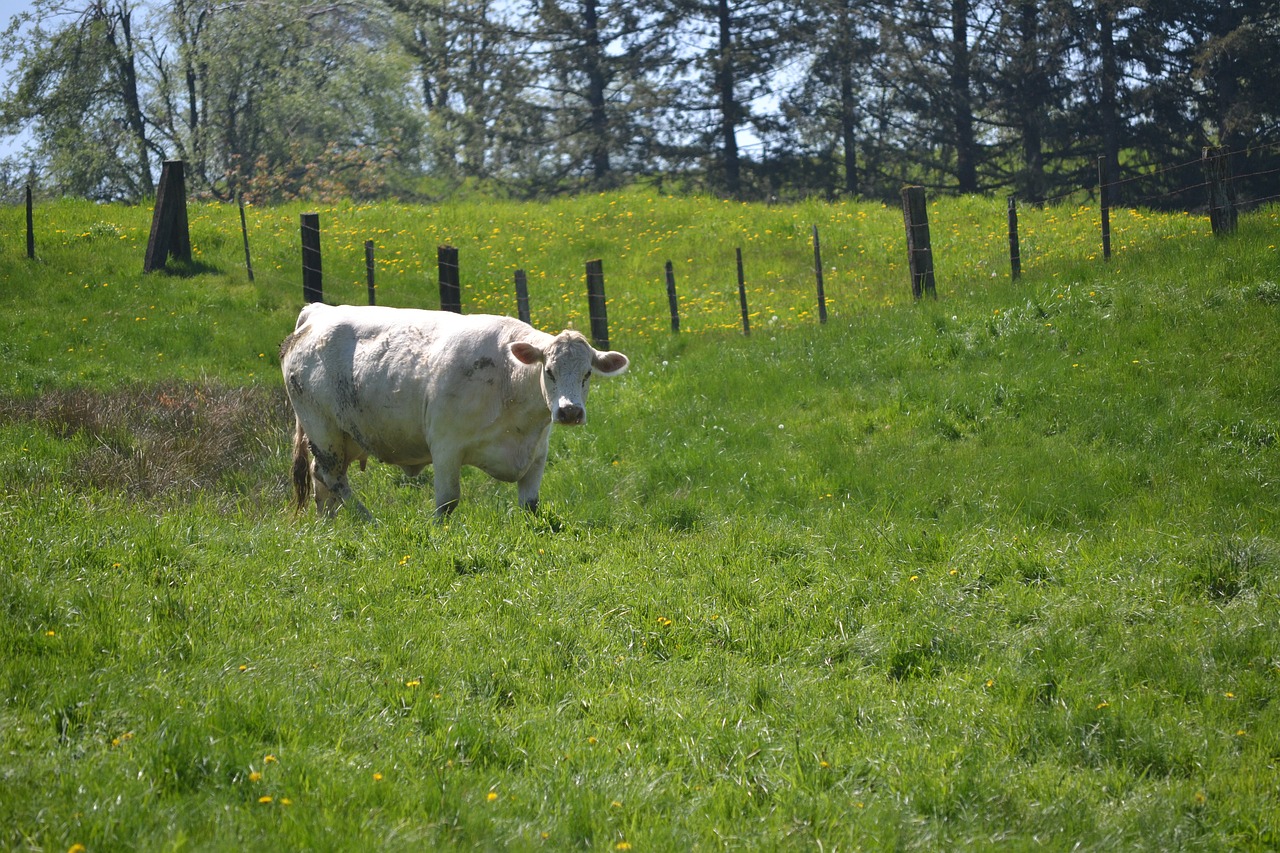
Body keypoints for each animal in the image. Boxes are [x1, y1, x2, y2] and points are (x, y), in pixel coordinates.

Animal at [280, 303, 629, 517]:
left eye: (587, 374)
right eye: (549, 371)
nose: (570, 411)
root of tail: (317, 312)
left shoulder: (537, 454)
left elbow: (530, 505)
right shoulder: (446, 447)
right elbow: (447, 502)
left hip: (343, 436)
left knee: (321, 478)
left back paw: (329, 525)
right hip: (321, 428)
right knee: (333, 476)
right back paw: (368, 521)